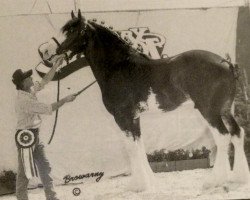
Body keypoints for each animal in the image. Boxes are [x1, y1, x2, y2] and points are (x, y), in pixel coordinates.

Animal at [39, 10, 250, 191]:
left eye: (75, 31)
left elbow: (131, 149)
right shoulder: (134, 117)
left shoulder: (122, 117)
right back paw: (238, 178)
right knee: (237, 133)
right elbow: (139, 147)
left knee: (223, 137)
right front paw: (149, 182)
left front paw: (138, 185)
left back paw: (214, 181)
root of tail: (226, 63)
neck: (118, 67)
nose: (51, 52)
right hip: (225, 109)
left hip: (209, 110)